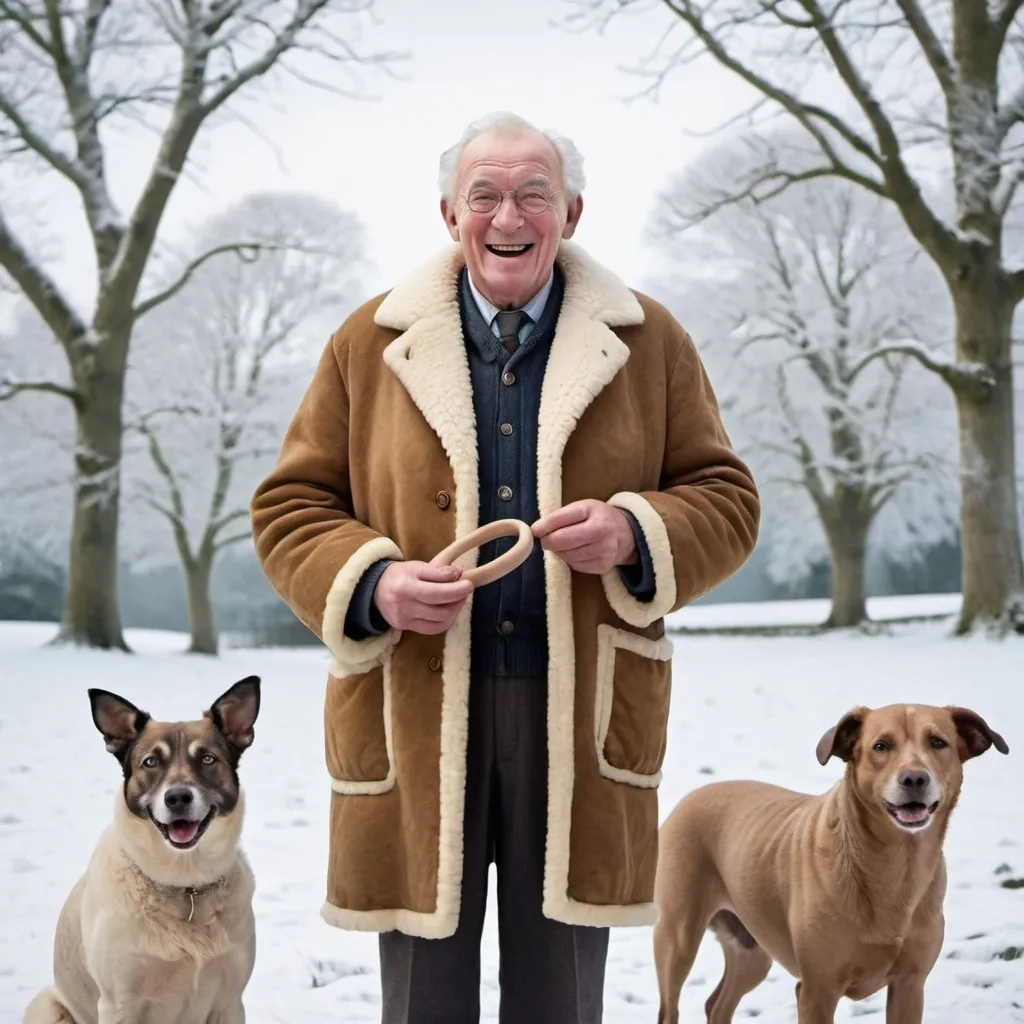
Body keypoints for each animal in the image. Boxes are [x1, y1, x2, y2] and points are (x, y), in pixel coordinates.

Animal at [27, 679, 262, 1024]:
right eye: (151, 762)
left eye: (207, 759)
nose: (177, 798)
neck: (185, 884)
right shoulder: (119, 1004)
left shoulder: (229, 1003)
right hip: (47, 1006)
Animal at [651, 704, 1003, 1024]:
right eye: (881, 746)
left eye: (938, 742)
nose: (914, 778)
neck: (896, 863)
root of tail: (690, 797)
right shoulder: (817, 991)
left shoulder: (910, 986)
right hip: (678, 937)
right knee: (671, 1004)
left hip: (751, 949)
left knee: (718, 1004)